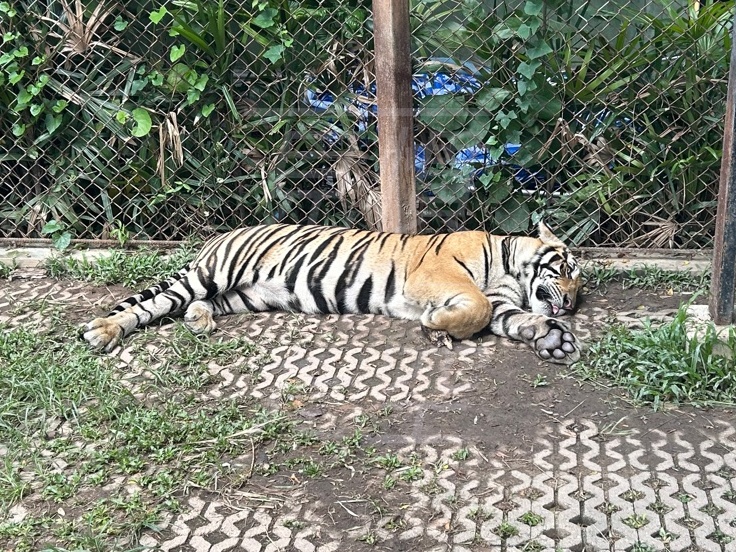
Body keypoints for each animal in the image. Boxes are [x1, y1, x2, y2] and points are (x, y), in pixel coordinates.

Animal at [82, 222, 582, 364]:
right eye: (568, 270)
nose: (571, 303)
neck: (511, 268)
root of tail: (218, 236)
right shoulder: (437, 276)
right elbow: (473, 306)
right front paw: (435, 326)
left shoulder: (503, 305)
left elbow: (516, 319)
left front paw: (554, 340)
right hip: (215, 274)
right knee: (156, 303)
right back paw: (102, 331)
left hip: (245, 295)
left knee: (198, 305)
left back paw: (199, 321)